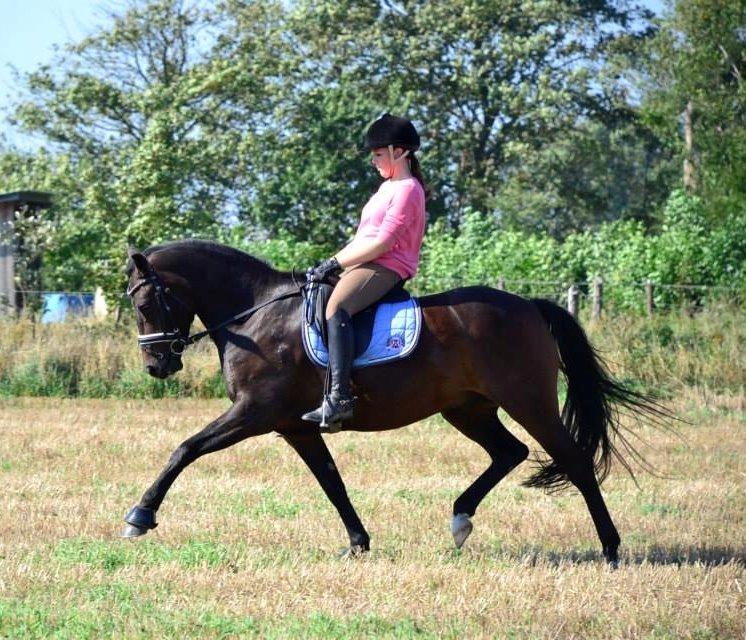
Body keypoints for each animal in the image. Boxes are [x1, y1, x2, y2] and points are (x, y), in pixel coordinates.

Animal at [122, 239, 666, 565]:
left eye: (145, 303)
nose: (156, 367)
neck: (255, 316)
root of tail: (529, 306)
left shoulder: (252, 413)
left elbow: (185, 449)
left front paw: (140, 517)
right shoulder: (296, 426)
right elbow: (332, 483)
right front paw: (358, 544)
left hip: (528, 401)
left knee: (573, 460)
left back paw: (611, 549)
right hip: (467, 408)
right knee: (509, 452)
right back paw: (460, 519)